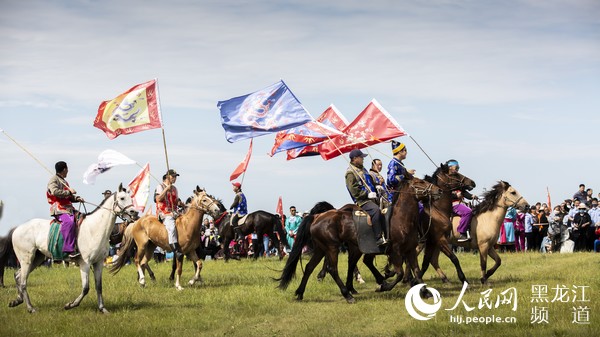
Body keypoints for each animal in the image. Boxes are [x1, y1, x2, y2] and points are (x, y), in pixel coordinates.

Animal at [5, 184, 137, 312]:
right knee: (23, 282)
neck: (94, 229)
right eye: (122, 198)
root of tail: (17, 229)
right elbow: (85, 288)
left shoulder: (98, 262)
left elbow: (99, 286)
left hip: (37, 258)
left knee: (18, 275)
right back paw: (31, 308)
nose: (135, 213)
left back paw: (17, 300)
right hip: (26, 259)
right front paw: (70, 305)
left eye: (130, 198)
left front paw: (102, 309)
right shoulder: (85, 263)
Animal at [276, 176, 440, 302]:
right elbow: (399, 274)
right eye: (420, 182)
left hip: (321, 248)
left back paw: (300, 293)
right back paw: (347, 295)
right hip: (332, 247)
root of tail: (317, 216)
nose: (438, 190)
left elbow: (417, 271)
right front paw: (383, 286)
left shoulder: (410, 250)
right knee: (332, 269)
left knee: (310, 267)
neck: (402, 219)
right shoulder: (395, 252)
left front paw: (425, 292)